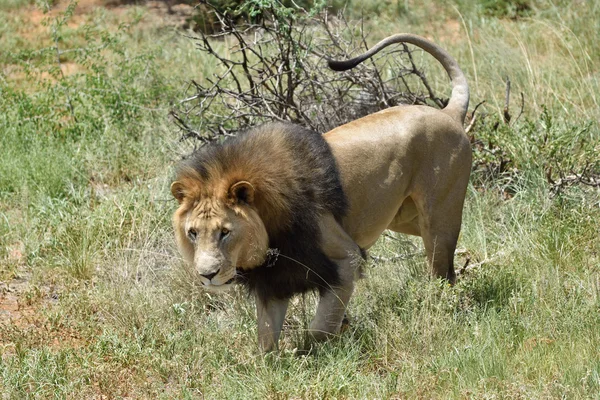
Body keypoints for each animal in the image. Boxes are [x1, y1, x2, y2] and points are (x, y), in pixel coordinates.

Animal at [171, 35, 472, 354]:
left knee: (444, 273)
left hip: (438, 219)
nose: (207, 275)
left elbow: (321, 324)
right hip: (405, 219)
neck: (267, 226)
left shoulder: (345, 258)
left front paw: (321, 345)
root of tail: (447, 113)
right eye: (193, 233)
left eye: (225, 232)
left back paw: (440, 308)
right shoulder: (274, 281)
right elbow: (265, 340)